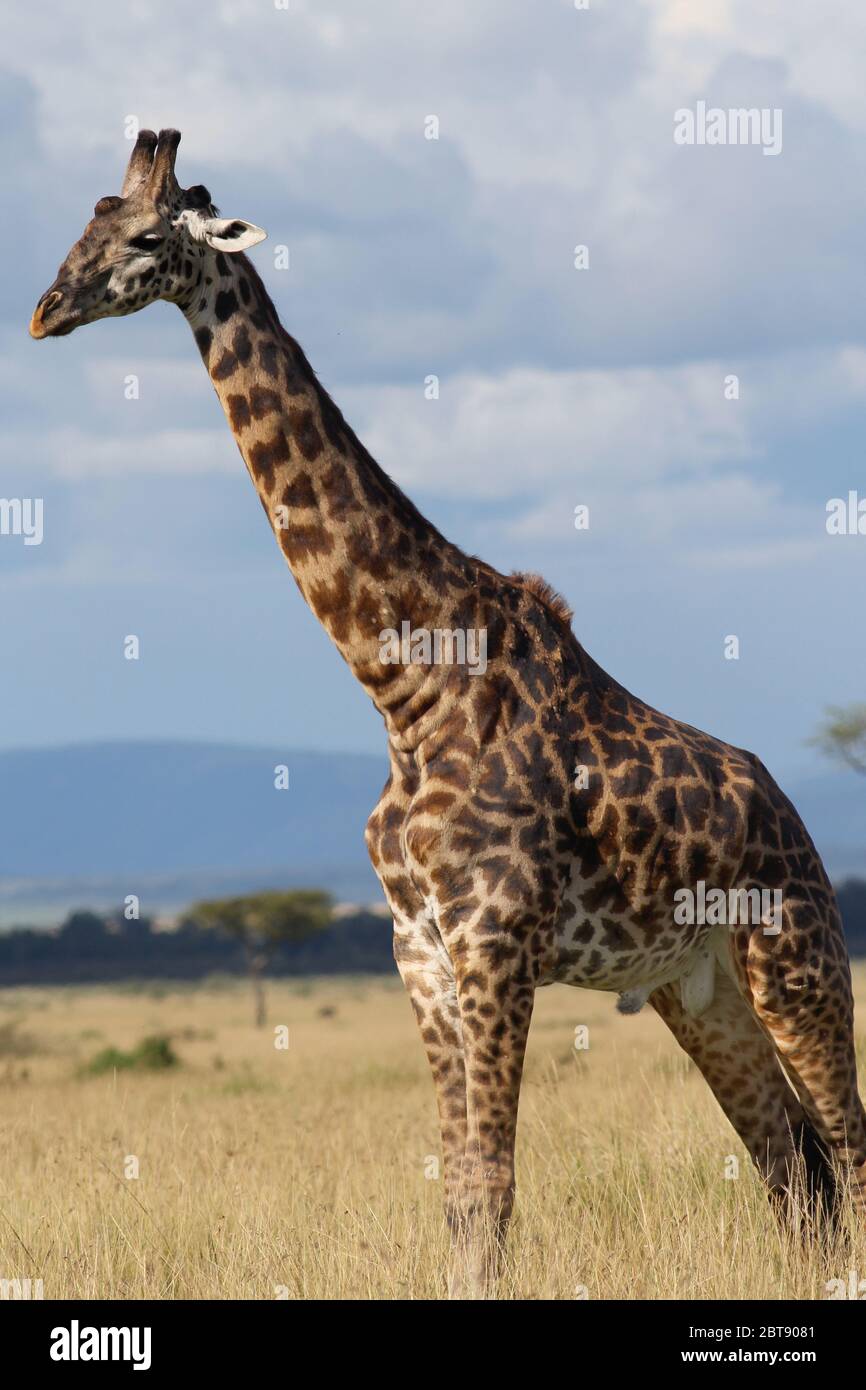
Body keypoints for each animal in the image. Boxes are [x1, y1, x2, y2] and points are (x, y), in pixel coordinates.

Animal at [28, 130, 866, 1301]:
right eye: (86, 218)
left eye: (146, 238)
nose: (45, 310)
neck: (403, 687)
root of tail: (793, 816)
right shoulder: (418, 949)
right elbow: (461, 1190)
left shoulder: (492, 941)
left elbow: (495, 1183)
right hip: (695, 987)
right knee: (794, 1167)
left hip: (794, 959)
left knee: (846, 1151)